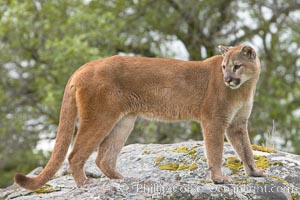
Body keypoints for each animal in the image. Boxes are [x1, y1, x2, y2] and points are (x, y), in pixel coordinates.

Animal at [15, 44, 266, 190]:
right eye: (224, 66)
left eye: (236, 66)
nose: (227, 79)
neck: (245, 87)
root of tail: (84, 66)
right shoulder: (214, 120)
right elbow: (216, 151)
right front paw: (219, 178)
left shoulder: (237, 124)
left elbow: (246, 149)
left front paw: (255, 173)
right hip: (100, 117)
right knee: (75, 154)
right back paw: (85, 184)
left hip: (124, 121)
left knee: (103, 157)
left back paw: (121, 179)